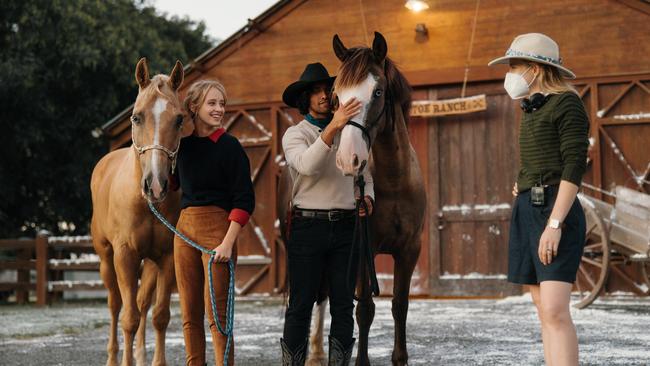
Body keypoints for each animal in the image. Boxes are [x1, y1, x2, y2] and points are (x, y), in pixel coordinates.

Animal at [90, 58, 190, 366]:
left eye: (179, 119)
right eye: (136, 117)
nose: (156, 185)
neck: (146, 204)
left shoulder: (167, 257)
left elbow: (159, 316)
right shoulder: (125, 256)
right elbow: (129, 318)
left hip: (151, 263)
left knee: (143, 303)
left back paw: (140, 356)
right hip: (106, 258)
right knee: (115, 305)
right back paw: (113, 357)